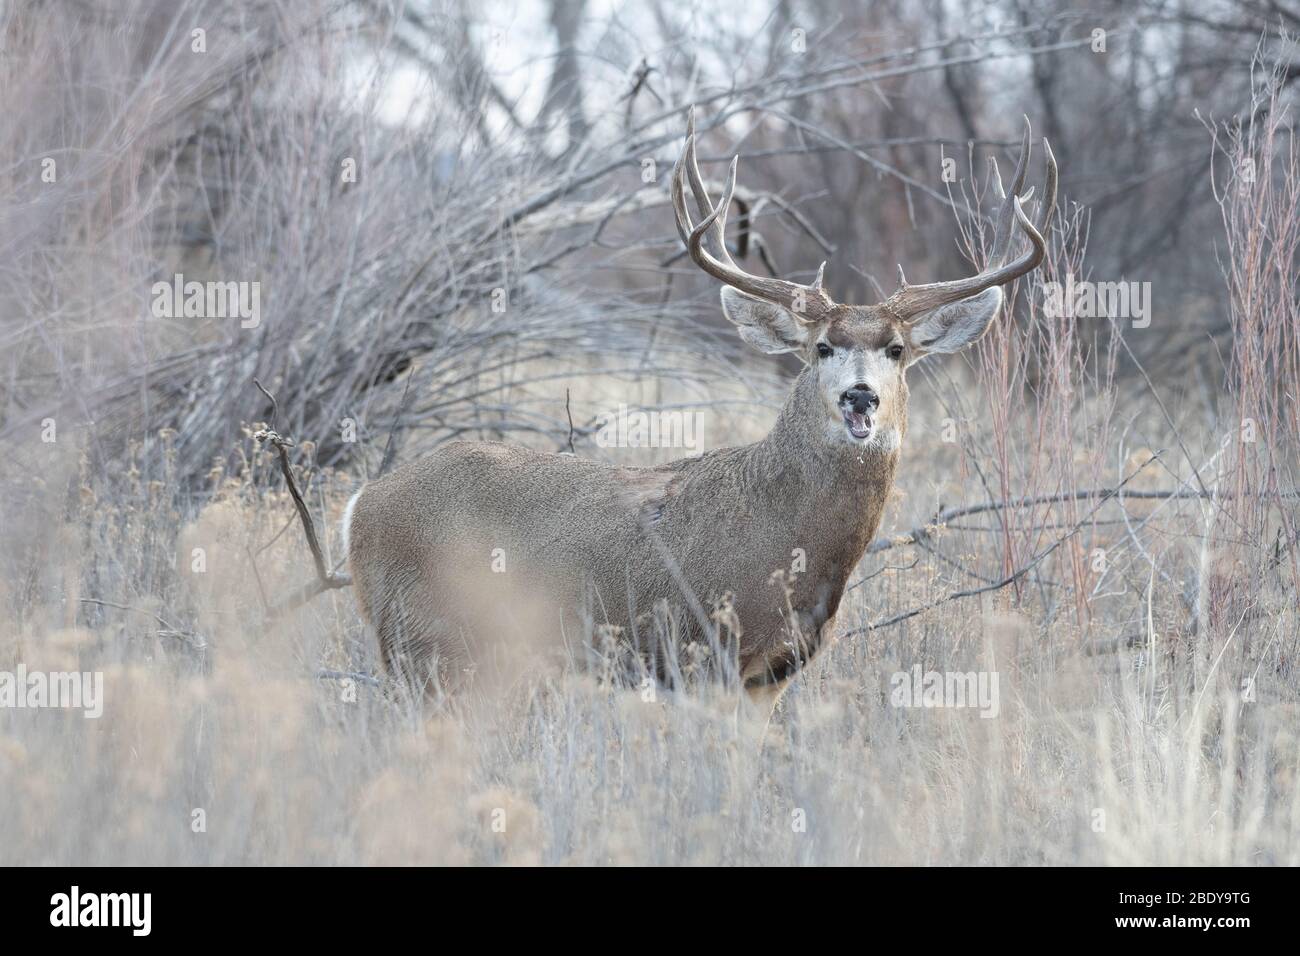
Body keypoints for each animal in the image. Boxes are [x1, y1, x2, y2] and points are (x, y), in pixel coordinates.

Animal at [345, 108, 1055, 712]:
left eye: (898, 349)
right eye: (821, 347)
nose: (861, 395)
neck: (793, 544)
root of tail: (361, 504)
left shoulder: (771, 675)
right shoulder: (700, 652)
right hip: (422, 641)